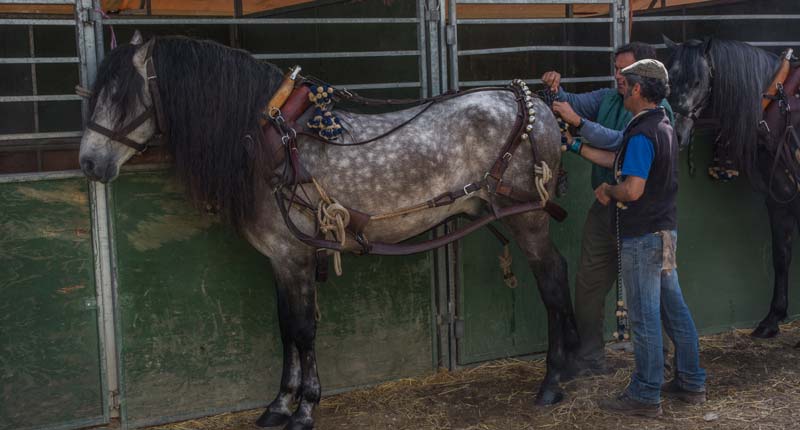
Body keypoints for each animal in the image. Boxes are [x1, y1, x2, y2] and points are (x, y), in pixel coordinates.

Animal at [78, 33, 580, 430]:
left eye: (121, 96)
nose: (88, 162)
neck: (272, 147)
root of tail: (533, 103)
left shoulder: (293, 255)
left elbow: (303, 330)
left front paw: (304, 410)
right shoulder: (281, 259)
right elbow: (286, 327)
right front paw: (279, 405)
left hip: (526, 216)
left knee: (553, 280)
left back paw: (553, 380)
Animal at [664, 37, 800, 346]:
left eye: (698, 81)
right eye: (669, 80)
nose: (676, 133)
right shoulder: (781, 198)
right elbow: (782, 255)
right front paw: (773, 318)